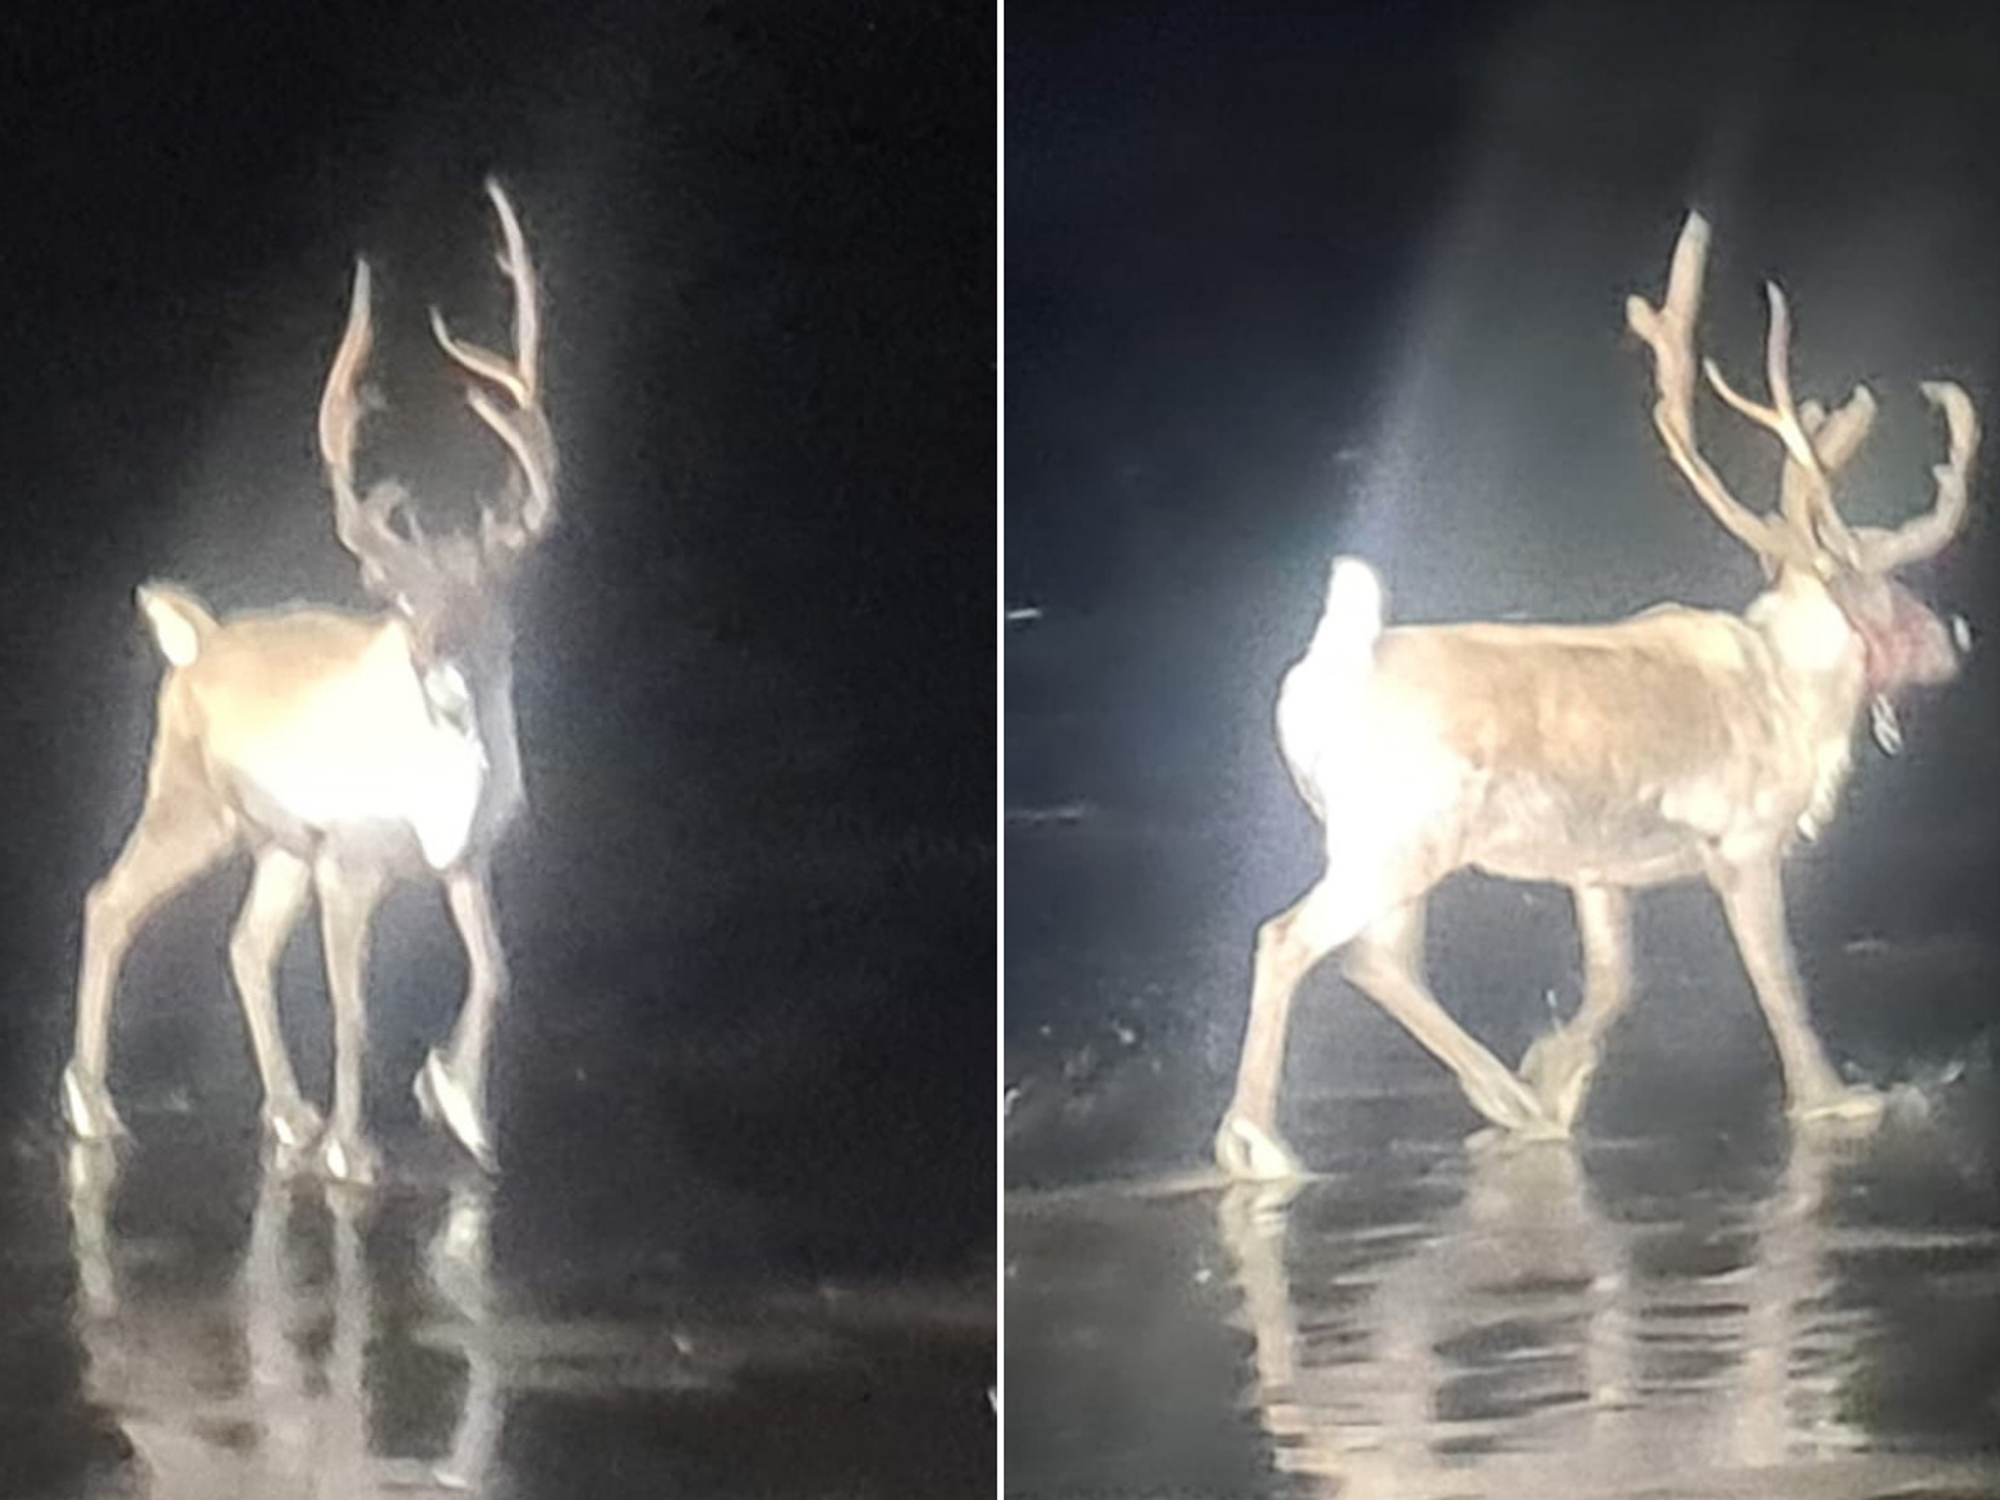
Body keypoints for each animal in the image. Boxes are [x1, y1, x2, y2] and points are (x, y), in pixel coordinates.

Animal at [60, 179, 556, 1185]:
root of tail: (196, 639)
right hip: (191, 801)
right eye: (399, 599)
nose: (438, 666)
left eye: (486, 596)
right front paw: (353, 1150)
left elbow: (496, 970)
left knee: (245, 943)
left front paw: (459, 1105)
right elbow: (353, 1007)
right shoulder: (352, 861)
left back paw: (287, 1115)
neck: (442, 784)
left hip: (276, 844)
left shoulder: (467, 857)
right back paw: (94, 1105)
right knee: (111, 900)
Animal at [1215, 211, 1979, 1182]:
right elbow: (1780, 981)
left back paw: (1510, 1098)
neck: (1797, 693)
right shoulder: (1744, 841)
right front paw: (1834, 1097)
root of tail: (1316, 682)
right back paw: (1260, 1141)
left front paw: (1558, 1070)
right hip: (1399, 837)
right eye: (1897, 589)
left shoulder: (1598, 867)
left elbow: (1616, 983)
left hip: (1393, 846)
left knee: (1377, 962)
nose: (1955, 642)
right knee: (1294, 940)